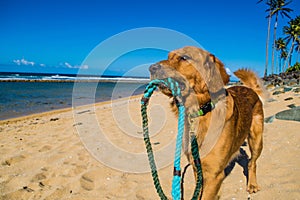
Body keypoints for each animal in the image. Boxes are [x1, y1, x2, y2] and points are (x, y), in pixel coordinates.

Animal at [149, 46, 264, 198]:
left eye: (184, 57)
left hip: (256, 139)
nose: (151, 68)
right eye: (168, 56)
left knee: (252, 162)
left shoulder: (214, 175)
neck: (201, 112)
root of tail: (250, 89)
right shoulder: (197, 168)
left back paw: (252, 184)